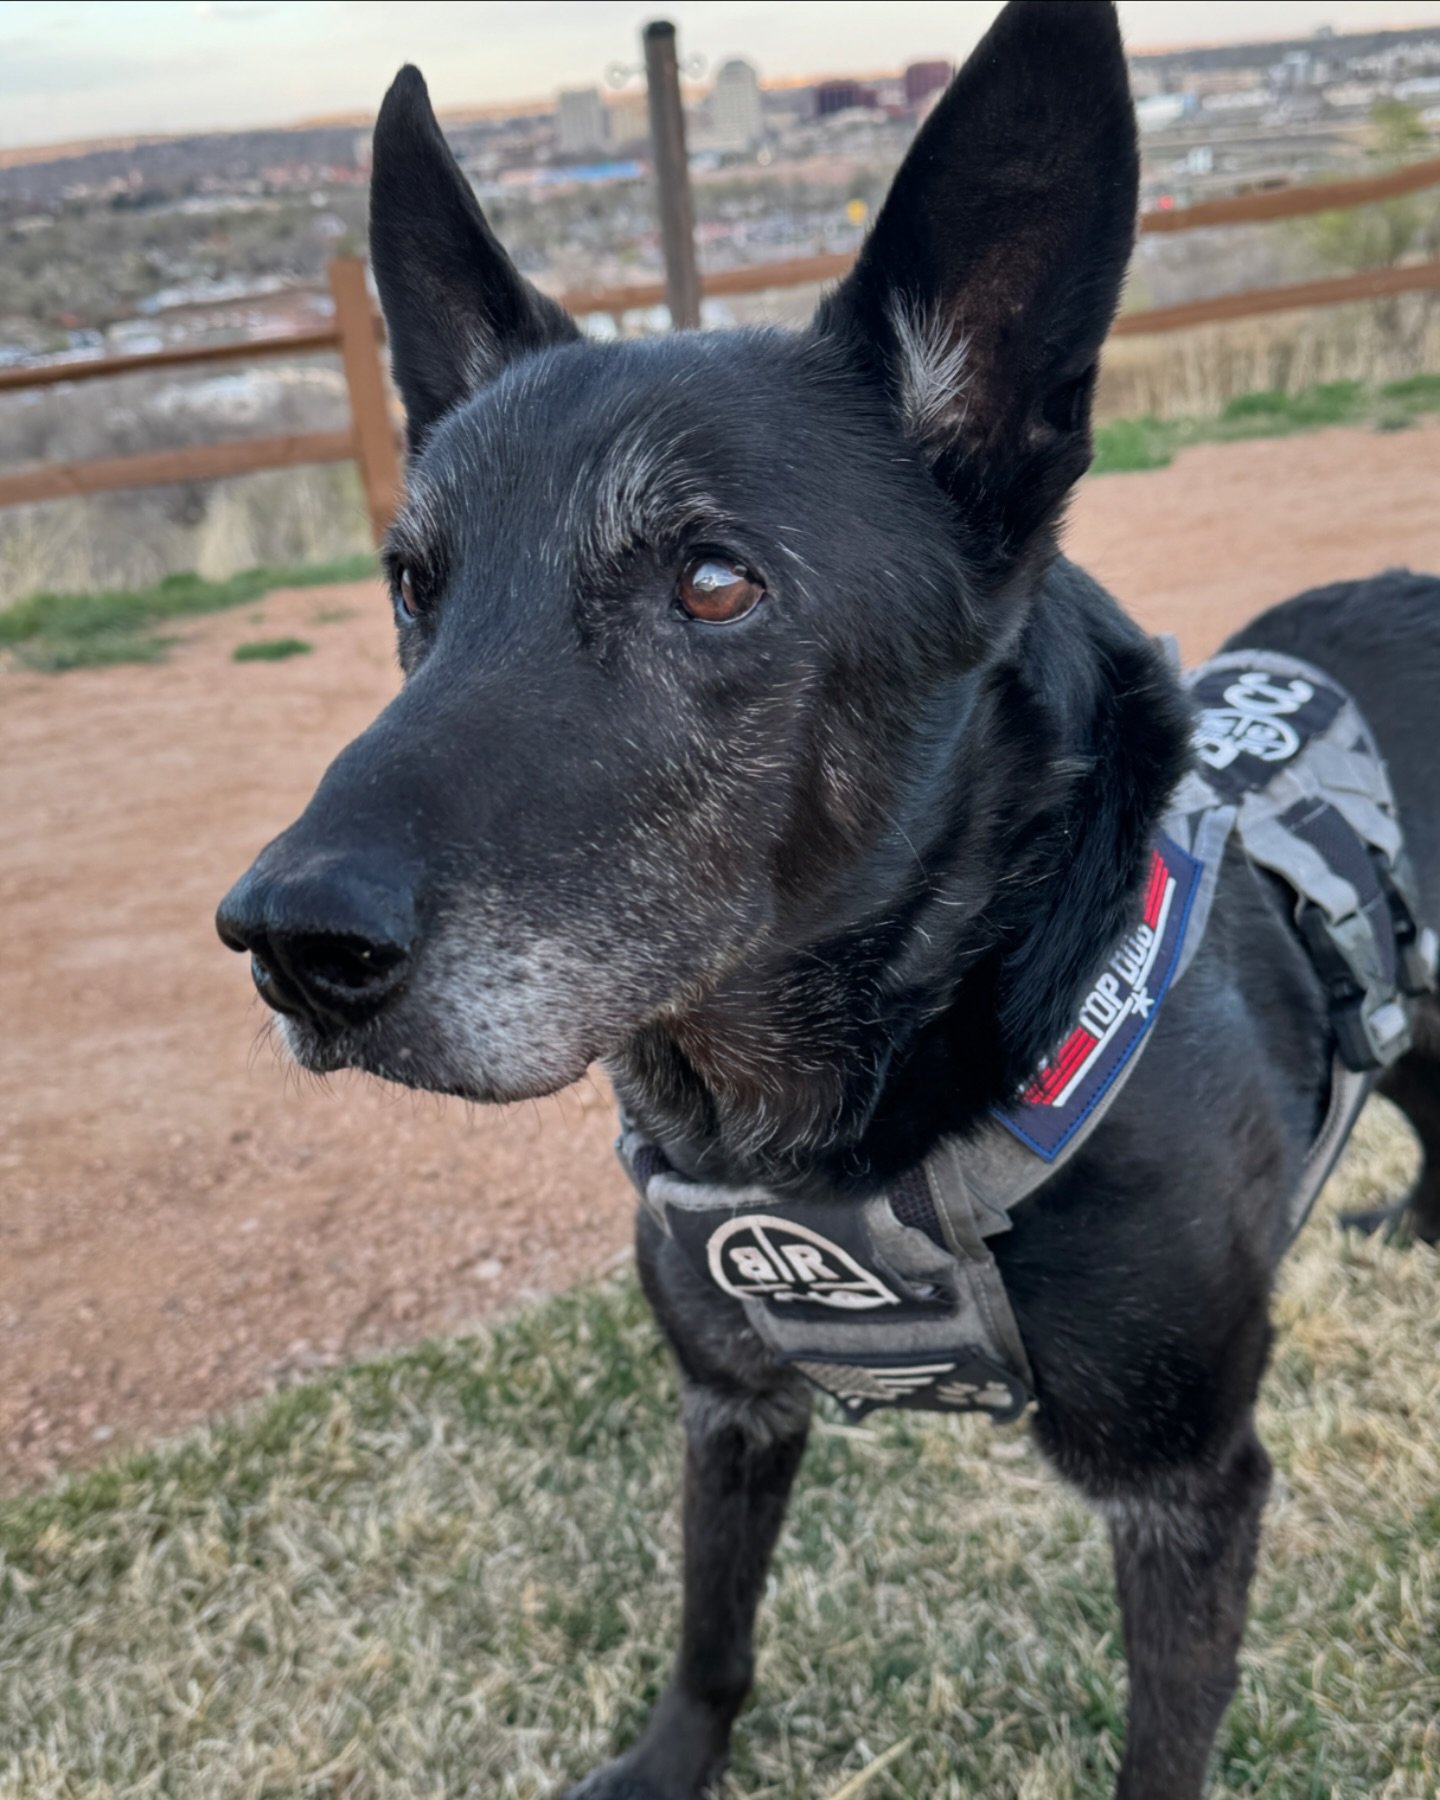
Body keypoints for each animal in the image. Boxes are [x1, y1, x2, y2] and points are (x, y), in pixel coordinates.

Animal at [216, 7, 1440, 1792]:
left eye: (714, 582)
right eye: (410, 590)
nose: (288, 944)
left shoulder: (1190, 1488)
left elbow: (1162, 1744)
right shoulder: (729, 1404)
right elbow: (710, 1637)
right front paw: (666, 1768)